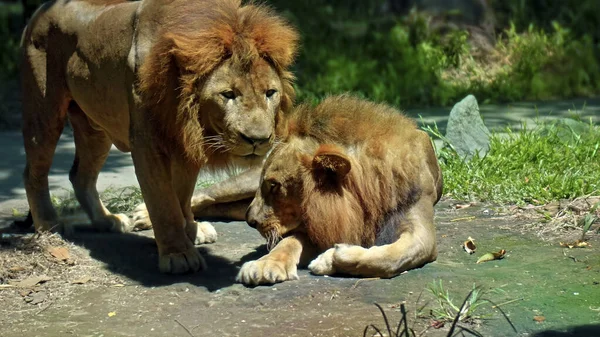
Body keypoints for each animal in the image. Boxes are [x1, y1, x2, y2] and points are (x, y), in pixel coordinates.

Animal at [19, 0, 296, 272]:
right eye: (228, 94)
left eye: (270, 93)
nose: (258, 140)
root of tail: (40, 10)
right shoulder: (146, 143)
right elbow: (163, 201)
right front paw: (178, 253)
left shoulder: (185, 142)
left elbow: (182, 195)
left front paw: (191, 229)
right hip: (44, 111)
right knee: (34, 173)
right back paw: (50, 224)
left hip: (95, 129)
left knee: (80, 175)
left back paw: (107, 220)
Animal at [236, 96, 446, 284]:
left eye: (273, 185)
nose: (249, 220)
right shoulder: (322, 225)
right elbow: (288, 243)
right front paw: (264, 264)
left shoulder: (420, 230)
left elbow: (390, 257)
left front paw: (329, 259)